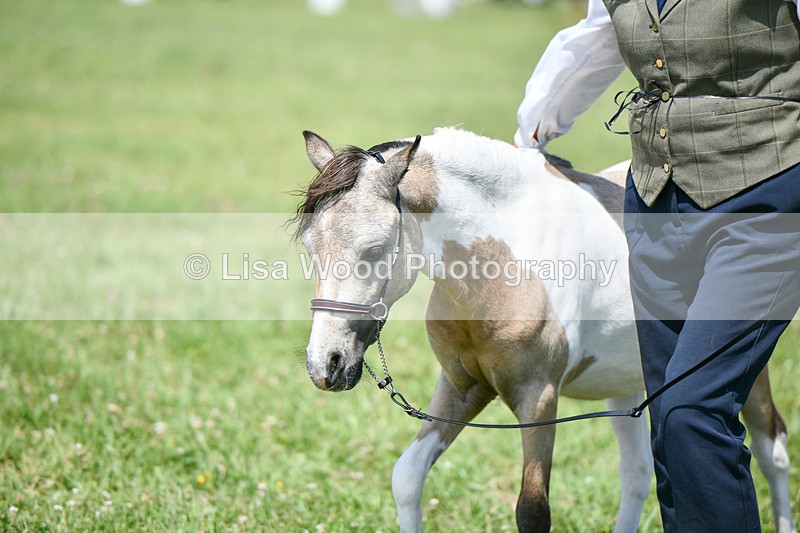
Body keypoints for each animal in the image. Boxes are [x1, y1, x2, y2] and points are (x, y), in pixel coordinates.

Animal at [294, 127, 794, 533]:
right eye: (310, 248)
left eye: (374, 249)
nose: (326, 364)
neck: (503, 260)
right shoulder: (462, 387)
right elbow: (407, 478)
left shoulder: (538, 398)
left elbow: (533, 510)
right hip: (628, 385)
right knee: (638, 472)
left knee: (773, 453)